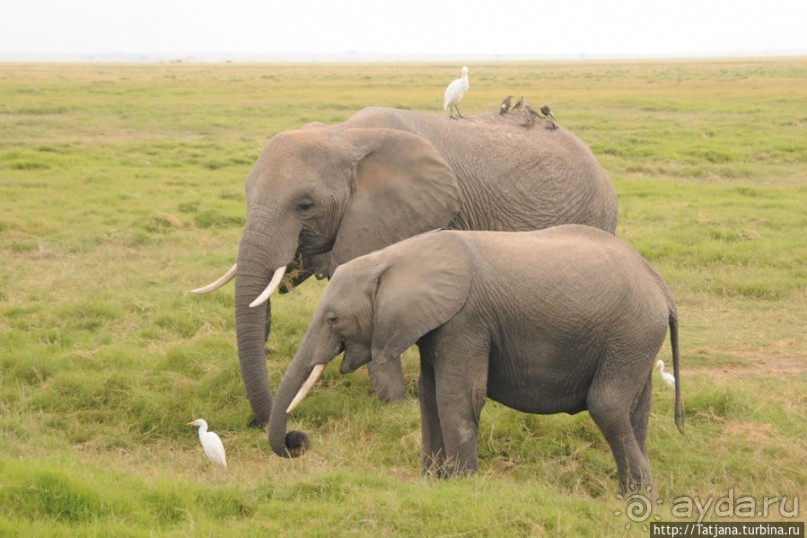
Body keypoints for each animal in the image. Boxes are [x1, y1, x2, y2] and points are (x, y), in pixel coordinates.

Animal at [268, 224, 684, 492]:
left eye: (332, 319)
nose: (297, 441)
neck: (395, 258)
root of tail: (663, 289)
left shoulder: (466, 321)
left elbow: (458, 397)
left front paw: (463, 486)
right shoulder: (436, 326)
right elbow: (430, 397)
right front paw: (433, 483)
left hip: (629, 336)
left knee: (607, 406)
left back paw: (639, 498)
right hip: (635, 343)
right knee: (635, 411)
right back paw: (630, 492)